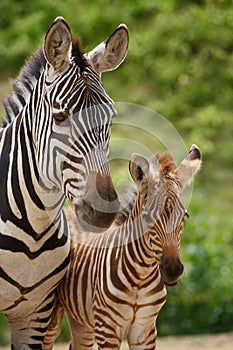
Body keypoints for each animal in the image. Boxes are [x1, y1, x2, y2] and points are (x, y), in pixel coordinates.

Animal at [42, 144, 201, 348]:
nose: (172, 270)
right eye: (146, 217)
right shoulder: (107, 329)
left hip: (81, 318)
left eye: (184, 217)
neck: (141, 275)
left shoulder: (145, 329)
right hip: (50, 313)